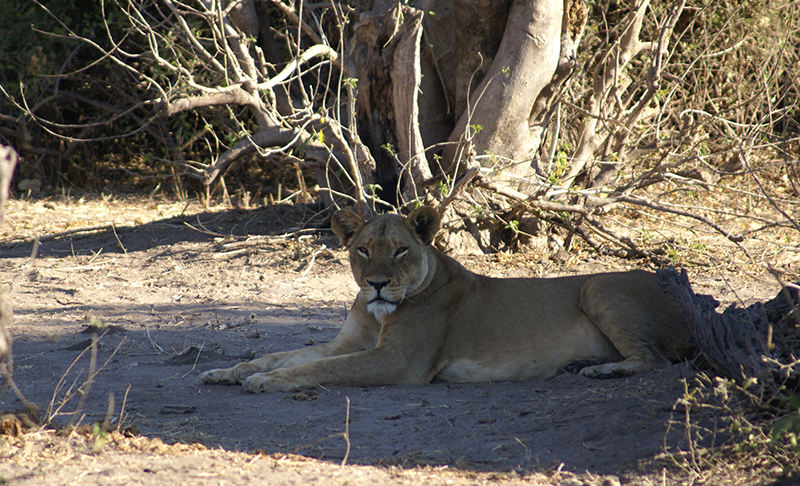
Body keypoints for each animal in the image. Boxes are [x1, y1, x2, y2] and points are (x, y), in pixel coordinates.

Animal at [200, 206, 694, 393]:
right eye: (363, 250)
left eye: (400, 250)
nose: (376, 284)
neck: (378, 315)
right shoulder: (349, 343)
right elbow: (281, 355)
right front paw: (227, 371)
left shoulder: (400, 363)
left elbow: (322, 369)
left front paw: (266, 382)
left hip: (597, 286)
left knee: (655, 360)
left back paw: (600, 369)